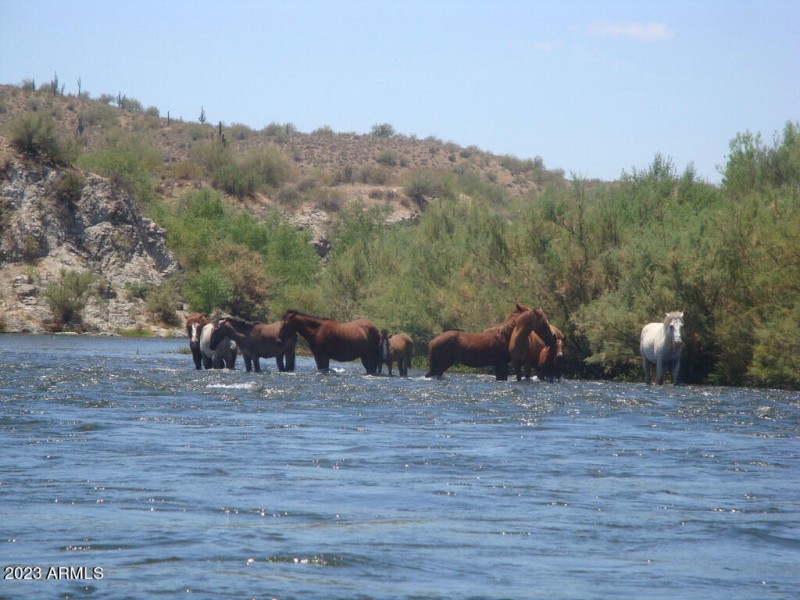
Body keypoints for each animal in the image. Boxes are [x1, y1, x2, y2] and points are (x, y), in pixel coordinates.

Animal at [426, 304, 554, 381]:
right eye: (544, 322)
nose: (551, 338)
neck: (506, 335)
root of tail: (433, 341)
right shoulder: (502, 364)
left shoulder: (499, 365)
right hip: (442, 365)